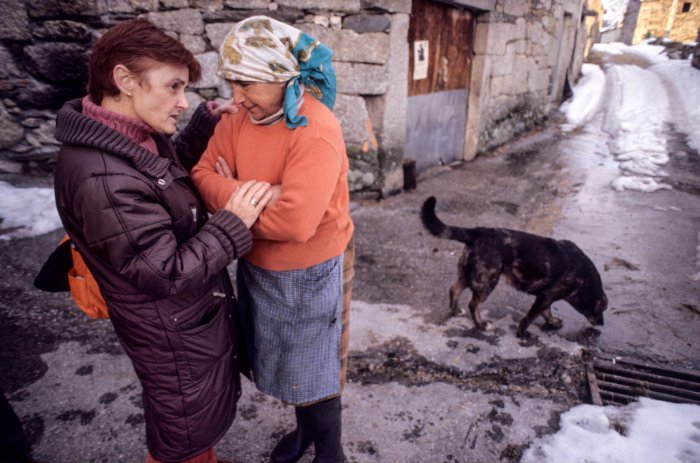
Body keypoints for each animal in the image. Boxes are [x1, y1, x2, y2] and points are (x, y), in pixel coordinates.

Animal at [422, 196, 608, 338]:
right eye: (601, 309)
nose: (602, 324)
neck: (585, 279)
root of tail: (476, 232)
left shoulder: (545, 297)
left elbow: (547, 312)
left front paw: (553, 322)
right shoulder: (545, 297)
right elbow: (530, 317)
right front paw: (522, 334)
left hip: (469, 275)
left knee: (454, 289)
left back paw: (455, 311)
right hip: (487, 281)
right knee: (473, 304)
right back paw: (481, 325)